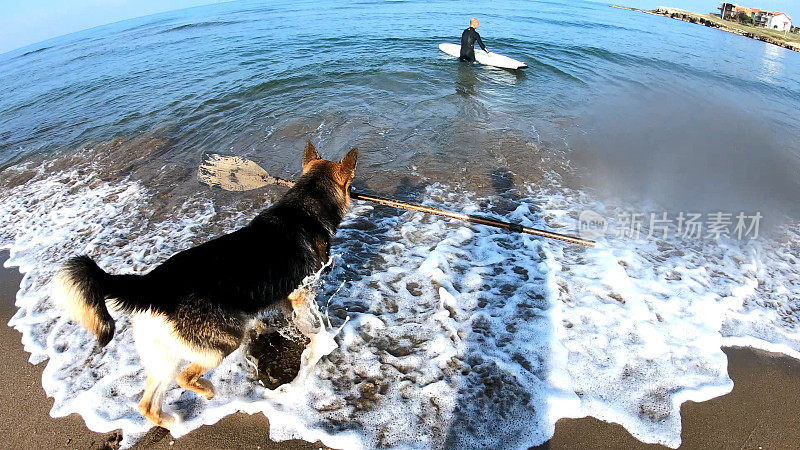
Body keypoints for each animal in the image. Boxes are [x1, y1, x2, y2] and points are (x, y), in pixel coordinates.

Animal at [51, 142, 358, 428]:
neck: (304, 205)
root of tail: (151, 285)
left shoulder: (284, 297)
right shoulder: (301, 292)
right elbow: (310, 322)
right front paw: (319, 343)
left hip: (164, 356)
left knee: (147, 404)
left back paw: (171, 422)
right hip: (224, 342)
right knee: (184, 376)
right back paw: (208, 391)